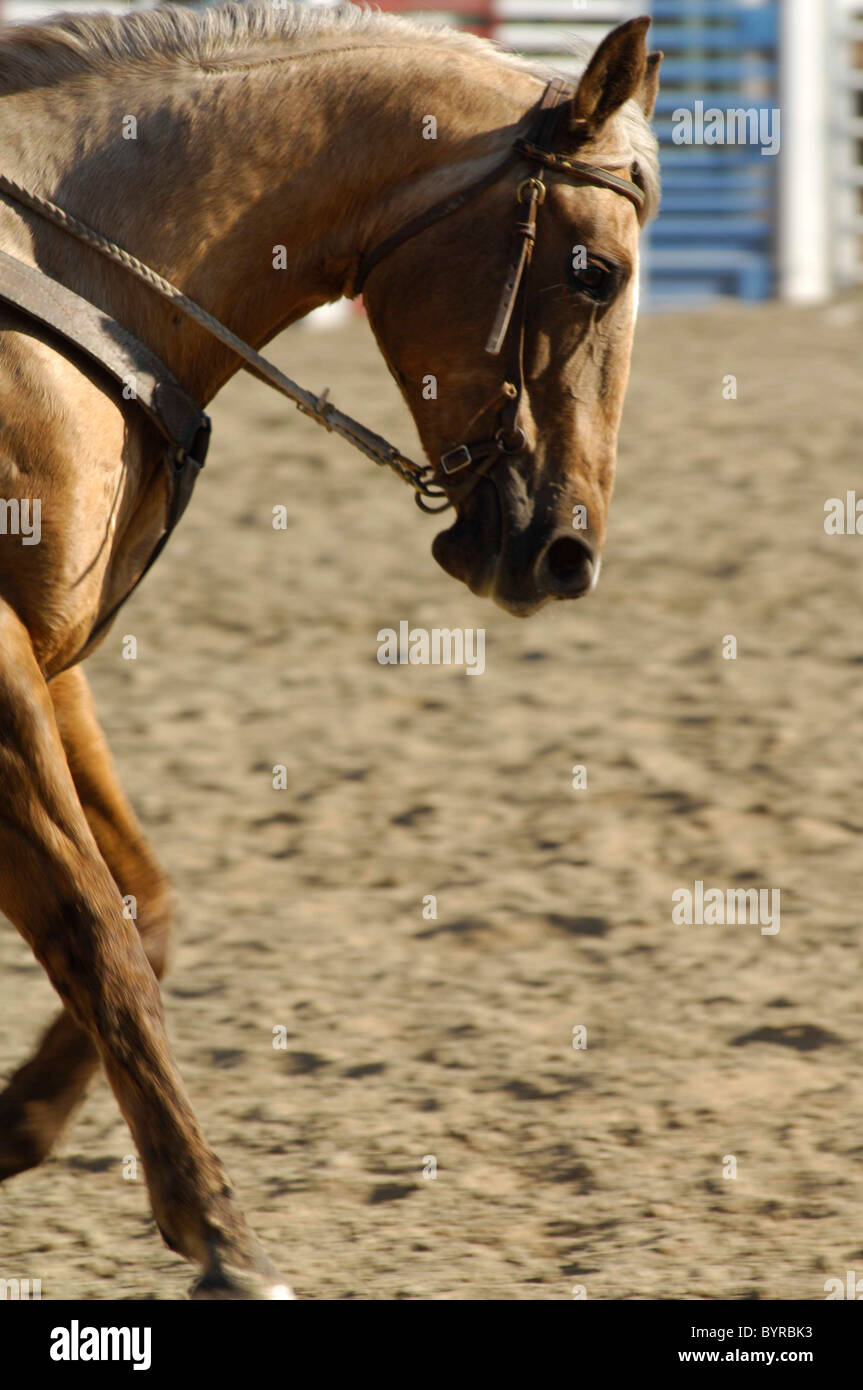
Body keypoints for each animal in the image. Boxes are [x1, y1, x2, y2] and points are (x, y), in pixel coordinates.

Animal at [0, 2, 660, 1298]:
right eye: (591, 272)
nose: (568, 553)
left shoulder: (53, 657)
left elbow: (143, 910)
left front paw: (12, 1123)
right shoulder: (2, 665)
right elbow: (96, 934)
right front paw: (219, 1228)